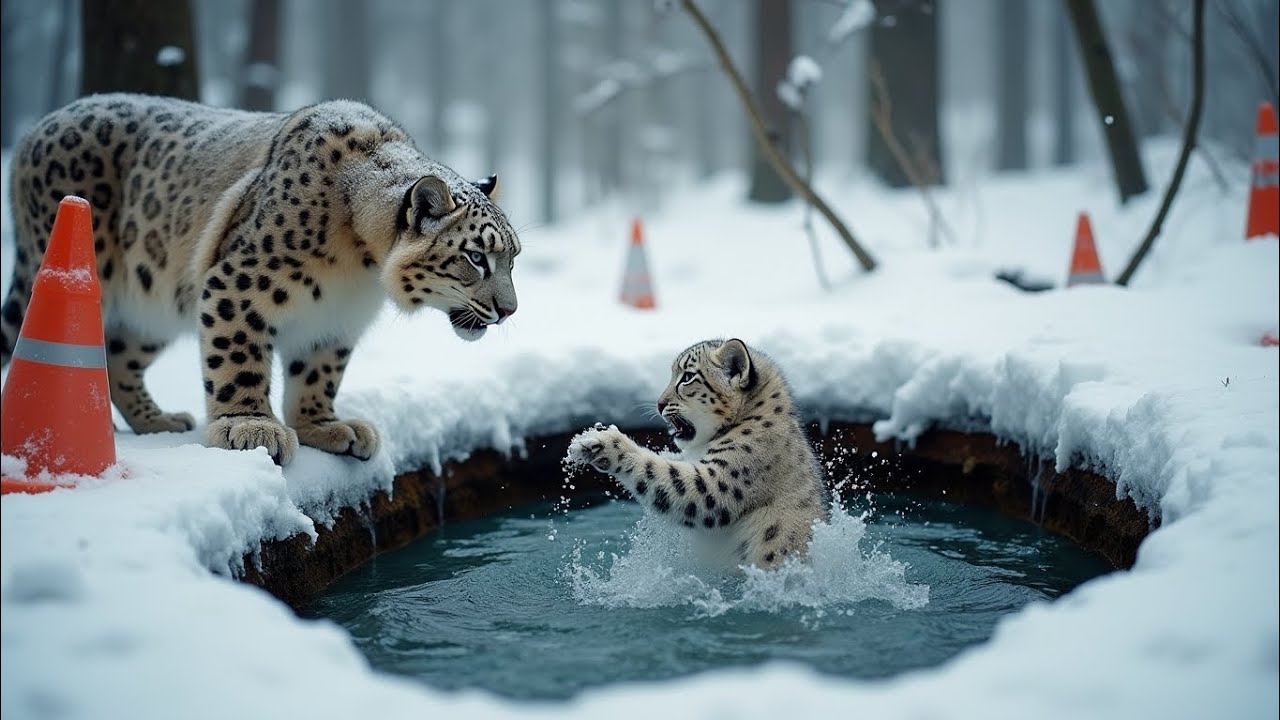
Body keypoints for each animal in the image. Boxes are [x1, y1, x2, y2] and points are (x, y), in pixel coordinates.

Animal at [2, 93, 520, 466]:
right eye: (476, 257)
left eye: (514, 258)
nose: (509, 310)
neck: (358, 272)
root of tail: (33, 132)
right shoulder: (239, 284)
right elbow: (238, 358)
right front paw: (251, 426)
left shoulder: (335, 322)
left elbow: (319, 373)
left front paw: (324, 426)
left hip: (152, 311)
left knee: (119, 353)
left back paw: (158, 420)